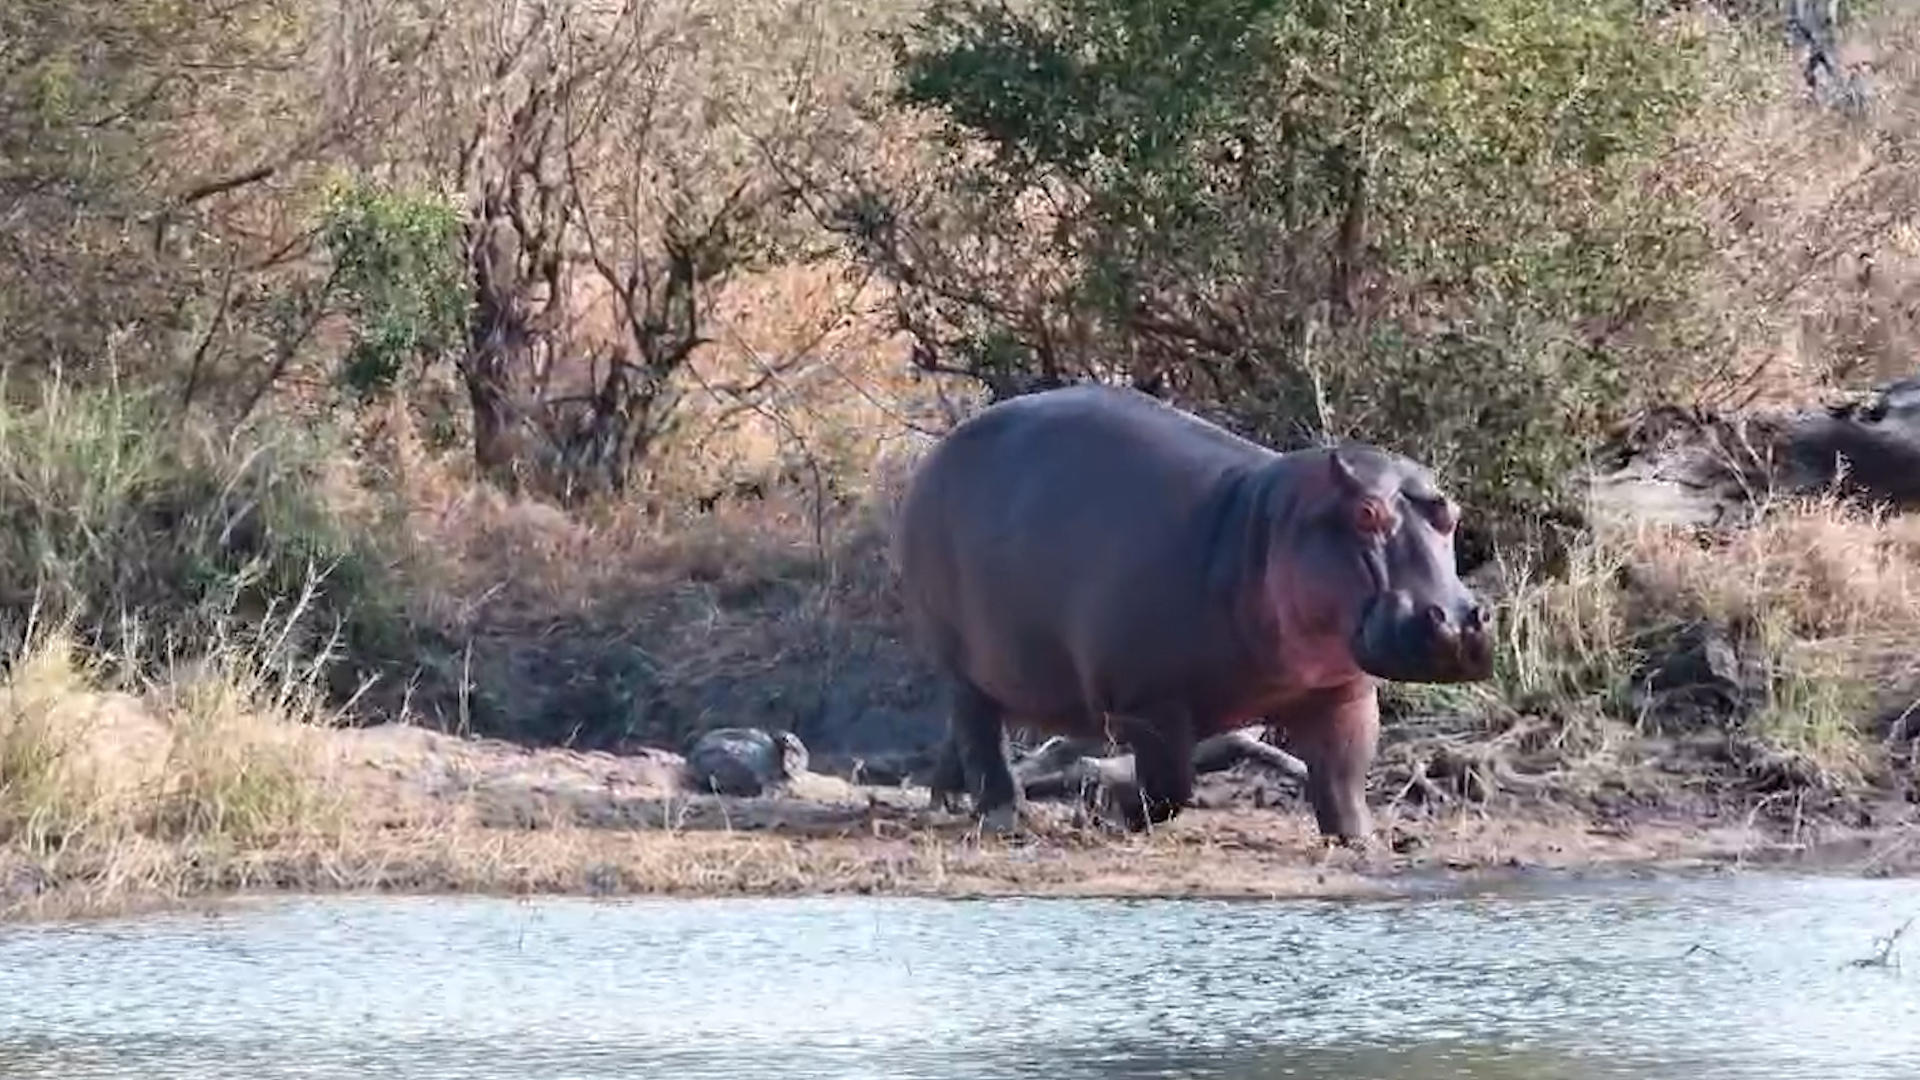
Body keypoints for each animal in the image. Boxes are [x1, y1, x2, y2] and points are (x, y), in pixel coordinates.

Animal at [890, 383, 1494, 844]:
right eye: (1366, 514)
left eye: (1451, 513)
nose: (1458, 622)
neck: (1266, 528)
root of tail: (937, 455)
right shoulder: (1148, 702)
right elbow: (1169, 787)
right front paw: (1112, 809)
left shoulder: (1344, 691)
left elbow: (1343, 777)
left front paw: (1360, 841)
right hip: (961, 661)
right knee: (980, 732)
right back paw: (1005, 817)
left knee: (962, 736)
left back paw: (947, 802)